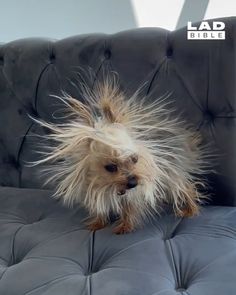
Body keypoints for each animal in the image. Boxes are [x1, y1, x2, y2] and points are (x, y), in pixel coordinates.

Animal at [32, 79, 207, 236]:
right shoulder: (94, 185)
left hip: (173, 171)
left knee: (185, 188)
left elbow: (129, 208)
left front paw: (125, 226)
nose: (133, 183)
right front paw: (98, 222)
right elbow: (99, 207)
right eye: (110, 167)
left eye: (135, 159)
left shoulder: (135, 192)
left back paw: (190, 209)